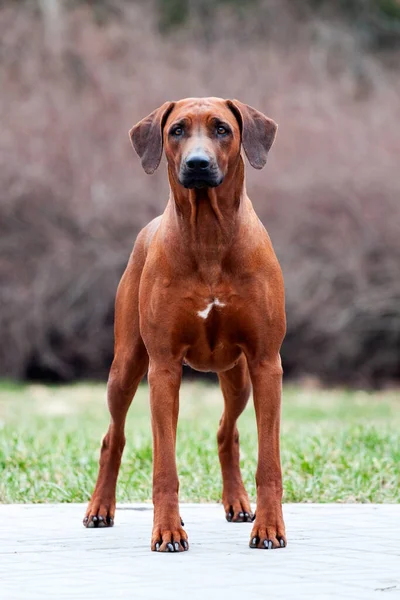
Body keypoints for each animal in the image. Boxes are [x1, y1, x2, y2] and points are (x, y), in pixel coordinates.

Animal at [83, 96, 286, 552]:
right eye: (176, 130)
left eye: (222, 129)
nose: (197, 163)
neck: (209, 233)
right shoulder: (163, 367)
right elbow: (164, 465)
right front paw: (167, 530)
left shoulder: (266, 363)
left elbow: (269, 463)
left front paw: (268, 528)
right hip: (126, 366)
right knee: (112, 437)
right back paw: (100, 507)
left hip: (238, 376)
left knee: (227, 433)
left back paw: (238, 503)